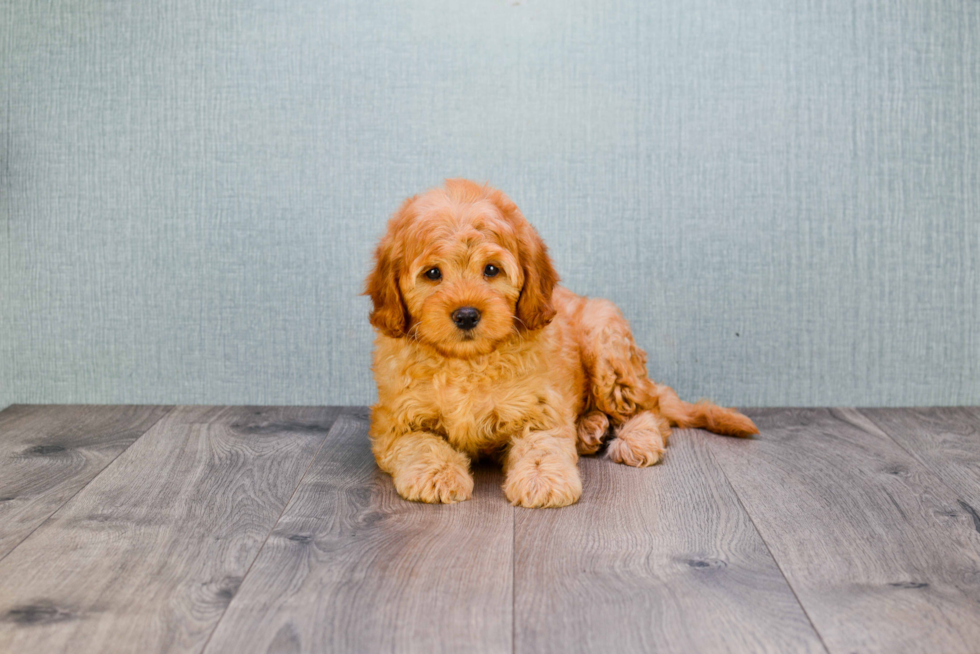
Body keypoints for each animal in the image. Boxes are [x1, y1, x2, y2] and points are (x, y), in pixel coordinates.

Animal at [368, 182, 756, 510]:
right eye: (432, 273)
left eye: (491, 270)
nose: (466, 315)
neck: (469, 361)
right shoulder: (396, 419)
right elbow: (421, 443)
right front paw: (436, 474)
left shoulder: (540, 408)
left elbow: (543, 445)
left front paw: (542, 481)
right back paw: (589, 429)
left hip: (607, 344)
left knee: (652, 408)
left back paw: (635, 439)